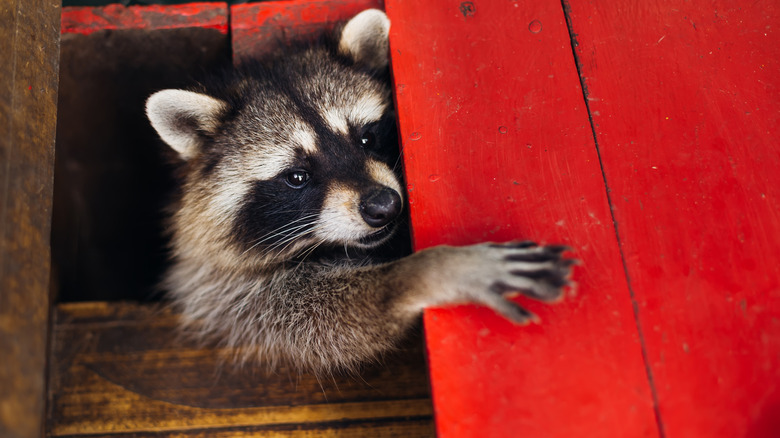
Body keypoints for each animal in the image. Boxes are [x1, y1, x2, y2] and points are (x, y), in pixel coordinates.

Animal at [146, 9, 574, 375]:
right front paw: (424, 272)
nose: (384, 206)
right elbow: (315, 322)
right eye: (297, 177)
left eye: (367, 137)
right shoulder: (222, 289)